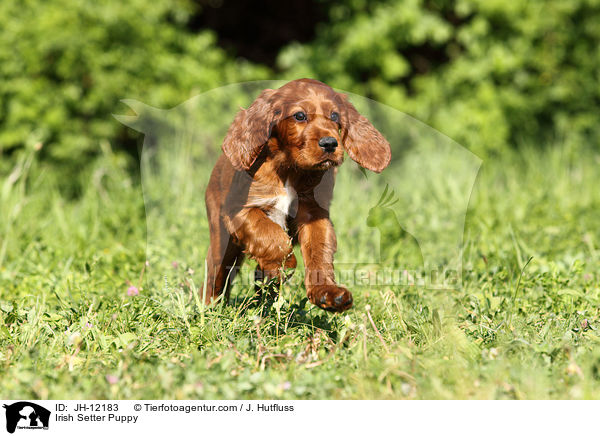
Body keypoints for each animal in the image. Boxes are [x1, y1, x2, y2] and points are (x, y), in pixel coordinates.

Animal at [204, 77, 392, 310]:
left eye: (335, 116)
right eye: (300, 116)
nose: (330, 143)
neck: (289, 170)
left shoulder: (314, 214)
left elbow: (319, 253)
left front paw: (327, 292)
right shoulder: (238, 210)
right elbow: (270, 233)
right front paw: (287, 263)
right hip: (221, 239)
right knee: (216, 275)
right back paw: (211, 309)